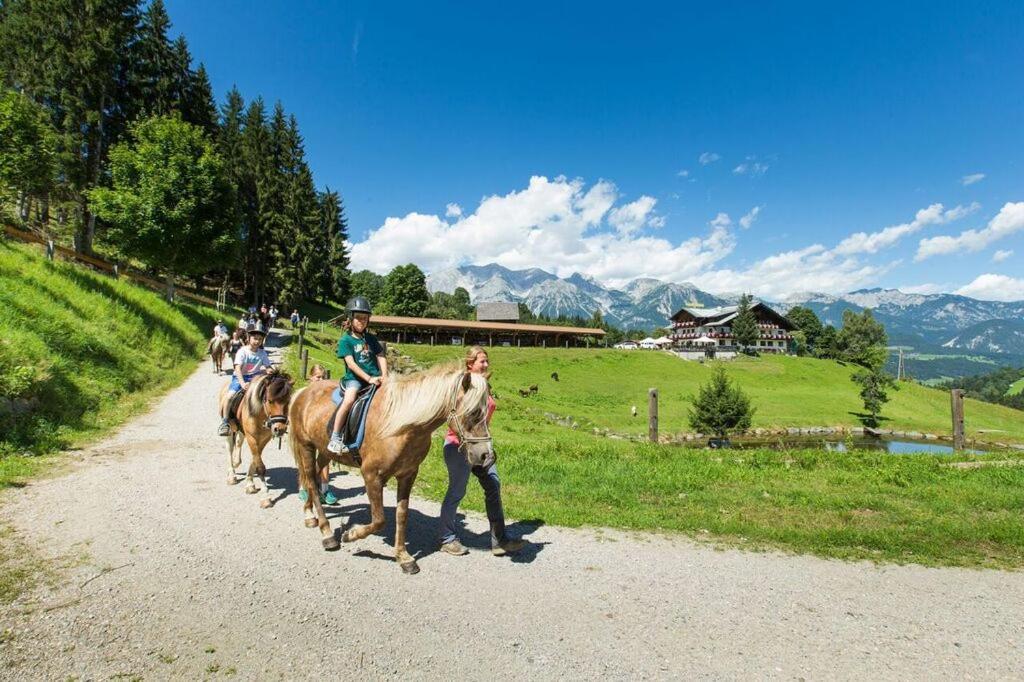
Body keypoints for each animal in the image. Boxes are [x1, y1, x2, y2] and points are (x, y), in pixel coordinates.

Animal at [218, 366, 294, 503]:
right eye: (269, 401)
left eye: (288, 401)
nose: (279, 429)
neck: (260, 415)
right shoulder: (252, 438)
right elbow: (260, 466)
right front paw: (266, 497)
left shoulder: (263, 440)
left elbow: (255, 460)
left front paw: (250, 484)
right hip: (230, 430)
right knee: (229, 448)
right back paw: (231, 475)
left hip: (241, 431)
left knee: (239, 443)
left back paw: (237, 462)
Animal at [288, 364, 495, 569]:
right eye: (474, 413)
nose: (487, 456)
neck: (401, 426)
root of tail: (303, 392)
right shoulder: (371, 475)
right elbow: (379, 520)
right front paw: (350, 534)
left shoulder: (407, 475)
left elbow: (401, 516)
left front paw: (403, 557)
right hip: (306, 446)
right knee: (311, 482)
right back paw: (327, 534)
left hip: (324, 451)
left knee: (314, 476)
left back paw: (309, 515)